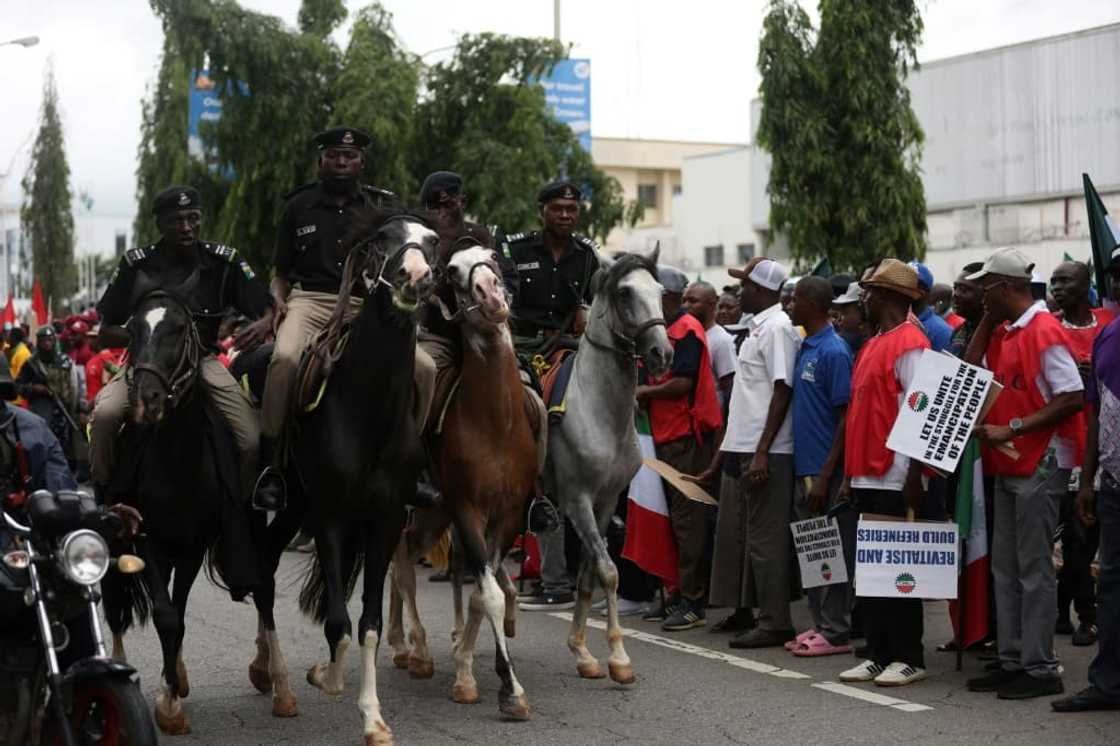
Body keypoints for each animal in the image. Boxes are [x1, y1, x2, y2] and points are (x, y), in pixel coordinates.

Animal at [99, 283, 297, 730]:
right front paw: (168, 701)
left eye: (177, 330)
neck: (176, 461)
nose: (147, 399)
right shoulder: (146, 539)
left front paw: (171, 693)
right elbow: (165, 614)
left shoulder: (192, 545)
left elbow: (180, 613)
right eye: (132, 331)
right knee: (117, 604)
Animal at [288, 210, 436, 743]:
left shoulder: (385, 520)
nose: (415, 276)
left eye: (432, 242)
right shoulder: (329, 517)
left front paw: (372, 715)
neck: (366, 412)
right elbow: (338, 621)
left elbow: (369, 619)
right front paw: (326, 677)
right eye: (380, 241)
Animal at [387, 245, 539, 721]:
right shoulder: (466, 509)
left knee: (409, 556)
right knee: (400, 561)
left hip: (435, 516)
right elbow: (488, 594)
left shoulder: (508, 515)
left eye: (492, 257)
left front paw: (467, 665)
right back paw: (413, 649)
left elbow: (481, 590)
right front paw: (508, 689)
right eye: (452, 273)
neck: (495, 422)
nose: (491, 294)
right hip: (423, 508)